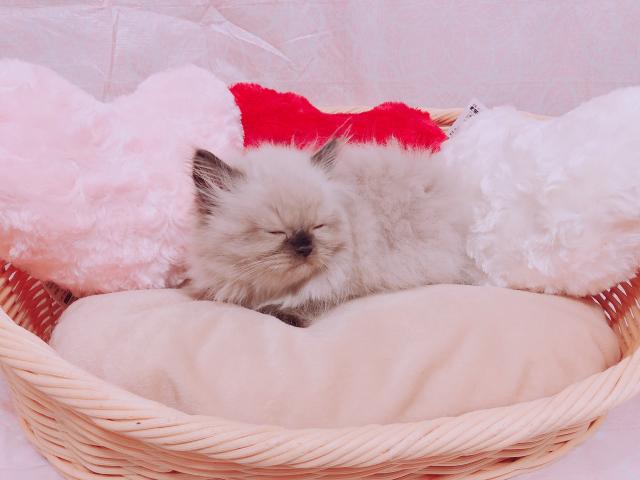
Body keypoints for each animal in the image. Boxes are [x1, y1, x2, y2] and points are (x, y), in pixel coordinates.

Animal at [186, 139, 483, 327]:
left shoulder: (339, 286)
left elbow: (303, 304)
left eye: (318, 226)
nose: (305, 247)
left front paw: (284, 314)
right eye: (275, 232)